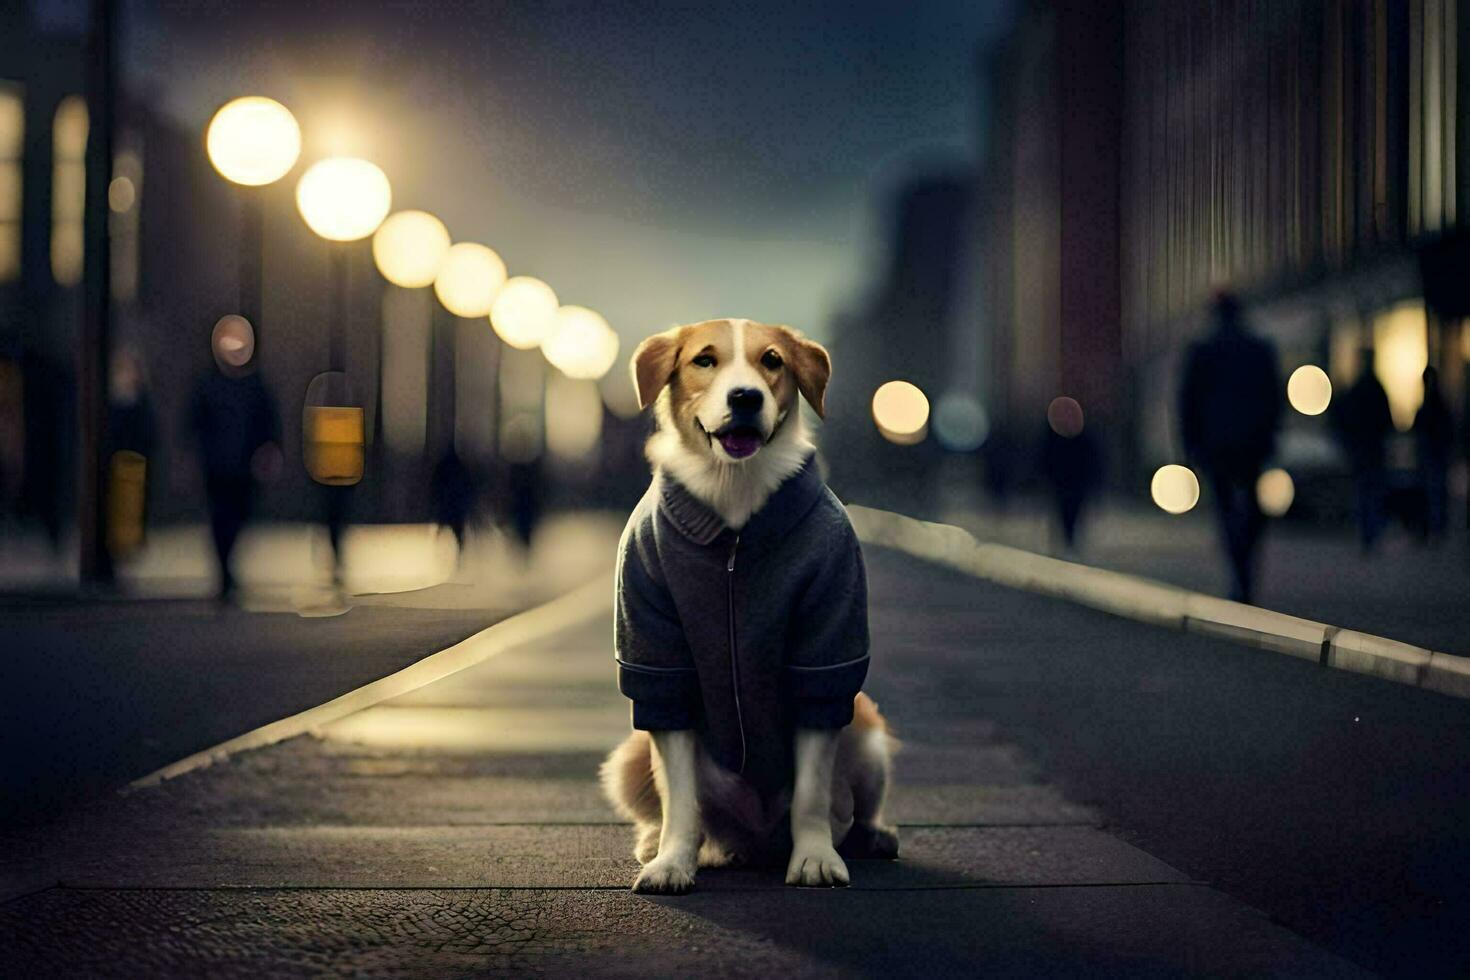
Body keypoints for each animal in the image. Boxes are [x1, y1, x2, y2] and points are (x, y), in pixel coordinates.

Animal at [596, 318, 893, 893]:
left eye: (772, 361)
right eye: (704, 360)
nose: (745, 397)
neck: (734, 499)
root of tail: (750, 840)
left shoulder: (824, 650)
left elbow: (812, 792)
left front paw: (815, 859)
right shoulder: (658, 655)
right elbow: (680, 795)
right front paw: (671, 863)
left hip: (869, 736)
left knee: (853, 806)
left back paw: (872, 836)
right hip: (628, 757)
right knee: (674, 808)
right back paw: (659, 843)